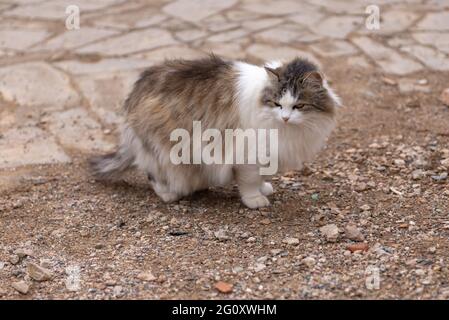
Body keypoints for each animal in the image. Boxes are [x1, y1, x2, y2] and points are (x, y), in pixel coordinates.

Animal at [89, 54, 340, 210]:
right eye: (278, 104)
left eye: (299, 106)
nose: (285, 117)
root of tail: (135, 92)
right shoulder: (247, 157)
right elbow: (250, 182)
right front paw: (255, 199)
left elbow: (261, 177)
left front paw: (264, 189)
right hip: (165, 149)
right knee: (152, 173)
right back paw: (169, 194)